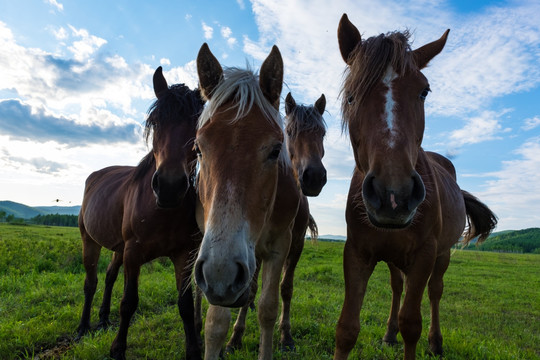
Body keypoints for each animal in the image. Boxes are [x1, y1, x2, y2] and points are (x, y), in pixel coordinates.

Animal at [75, 67, 204, 360]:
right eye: (155, 122)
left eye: (198, 124)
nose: (169, 186)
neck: (161, 210)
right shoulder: (133, 253)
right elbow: (129, 302)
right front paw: (117, 349)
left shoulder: (184, 255)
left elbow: (185, 305)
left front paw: (193, 350)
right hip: (90, 240)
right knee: (91, 282)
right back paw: (83, 326)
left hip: (118, 247)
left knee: (109, 276)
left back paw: (102, 319)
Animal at [191, 43, 298, 360]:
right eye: (198, 148)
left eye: (276, 150)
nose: (221, 272)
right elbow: (216, 322)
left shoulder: (279, 247)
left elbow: (267, 309)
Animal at [223, 91, 326, 352]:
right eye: (289, 131)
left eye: (322, 133)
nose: (314, 176)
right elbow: (251, 288)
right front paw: (235, 336)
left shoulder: (293, 245)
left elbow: (285, 289)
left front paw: (285, 335)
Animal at [334, 12, 498, 358]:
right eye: (352, 95)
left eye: (424, 91)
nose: (393, 196)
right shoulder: (356, 253)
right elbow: (346, 329)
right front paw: (385, 332)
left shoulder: (425, 255)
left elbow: (412, 324)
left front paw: (417, 335)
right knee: (398, 286)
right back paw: (388, 334)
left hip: (442, 255)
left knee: (435, 292)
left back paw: (436, 342)